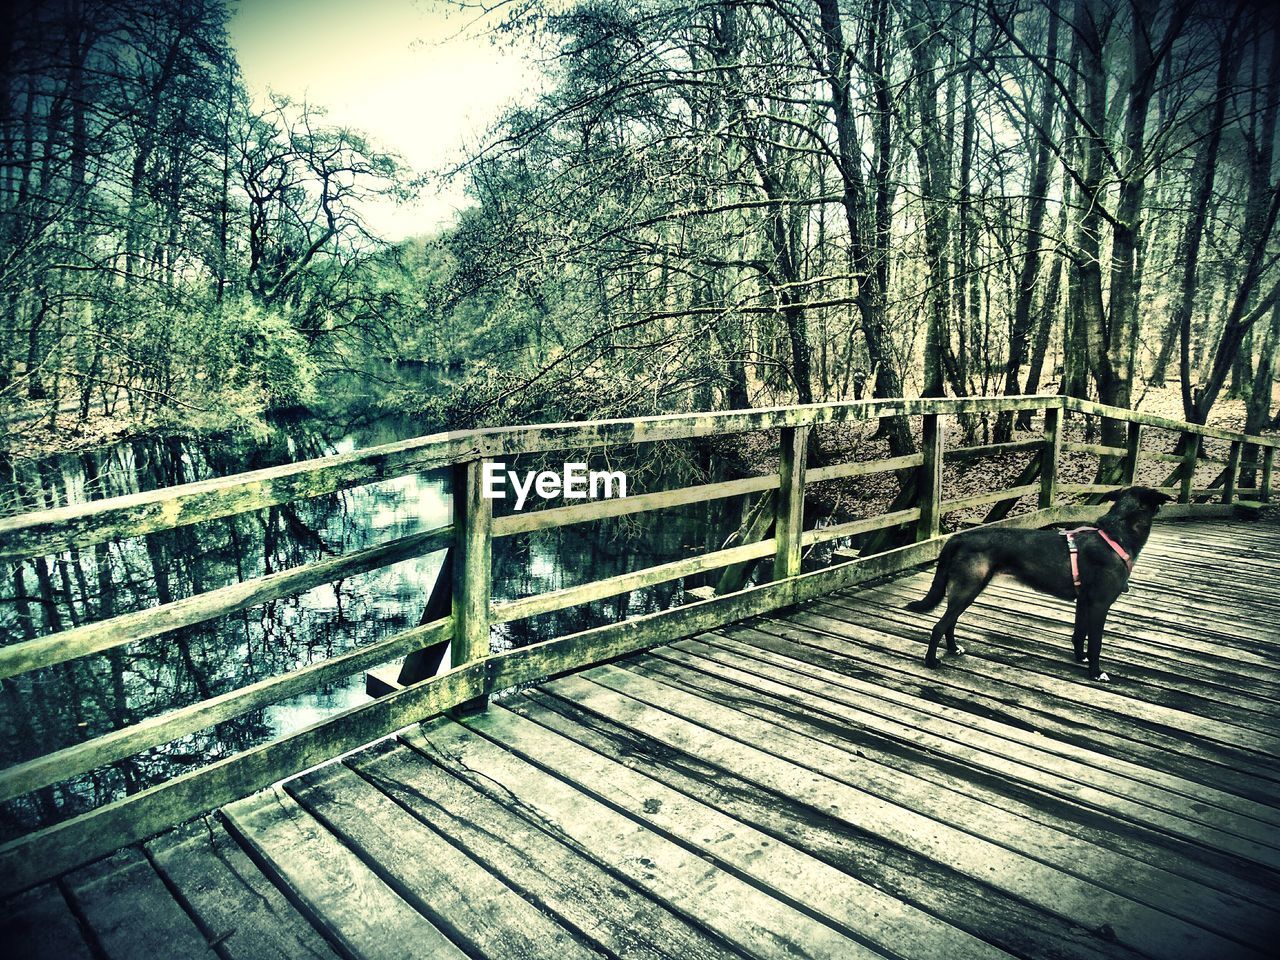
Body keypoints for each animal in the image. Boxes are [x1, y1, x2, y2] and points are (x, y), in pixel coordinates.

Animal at [901, 488, 1172, 686]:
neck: (1115, 534)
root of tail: (958, 537)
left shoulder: (1083, 602)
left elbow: (1078, 634)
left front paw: (1080, 658)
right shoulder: (1099, 604)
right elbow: (1095, 643)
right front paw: (1095, 672)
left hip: (967, 589)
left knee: (950, 623)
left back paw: (954, 649)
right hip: (968, 588)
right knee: (939, 626)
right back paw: (931, 661)